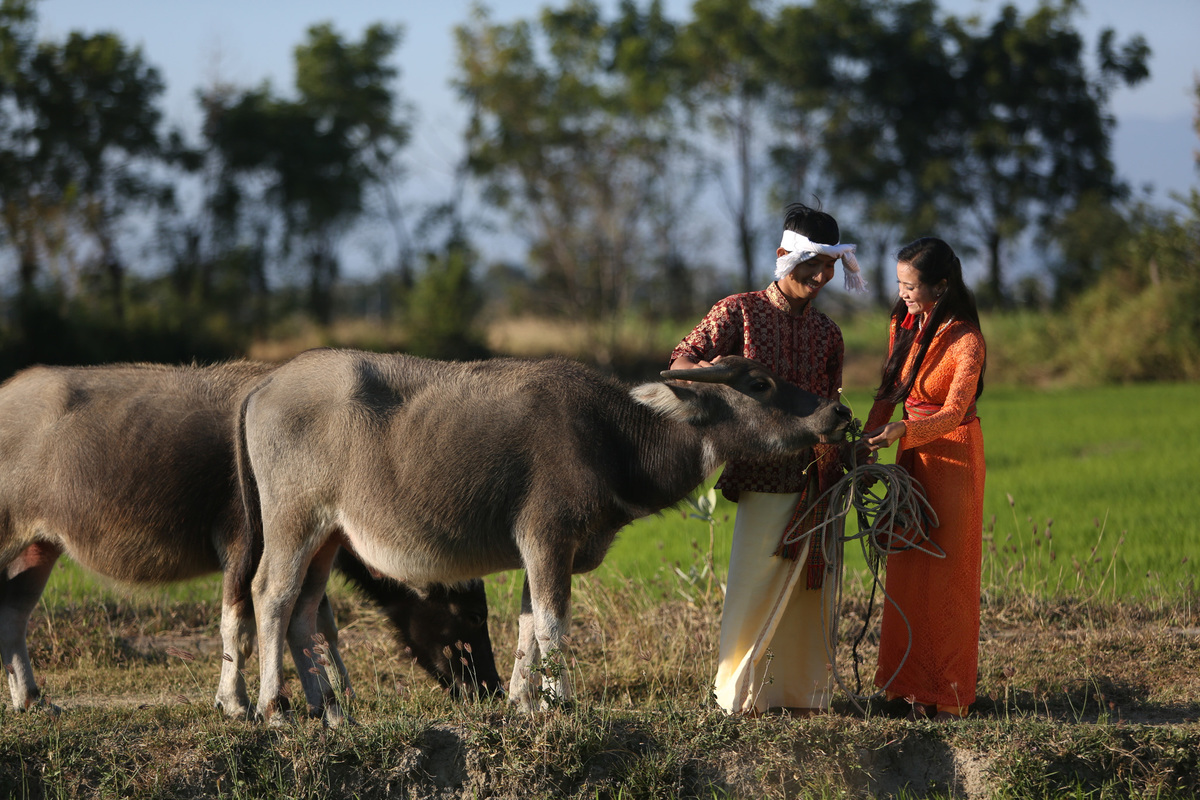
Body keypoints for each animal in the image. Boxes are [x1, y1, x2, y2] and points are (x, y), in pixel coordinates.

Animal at [0, 359, 501, 714]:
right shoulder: (243, 546)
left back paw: (31, 699)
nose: (490, 689)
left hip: (38, 547)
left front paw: (335, 693)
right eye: (474, 615)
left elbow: (317, 621)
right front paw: (238, 703)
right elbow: (241, 624)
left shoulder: (305, 547)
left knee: (14, 613)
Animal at [236, 350, 854, 719]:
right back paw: (271, 706)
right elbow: (555, 623)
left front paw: (522, 705)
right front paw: (562, 704)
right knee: (271, 594)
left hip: (328, 538)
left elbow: (527, 626)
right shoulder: (548, 539)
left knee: (305, 610)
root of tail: (264, 387)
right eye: (760, 382)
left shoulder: (538, 554)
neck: (614, 438)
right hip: (293, 521)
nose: (836, 412)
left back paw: (329, 710)